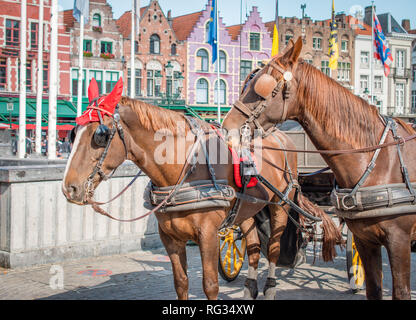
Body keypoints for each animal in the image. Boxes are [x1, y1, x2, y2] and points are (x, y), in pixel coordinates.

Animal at [61, 84, 338, 298]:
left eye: (100, 135)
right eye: (73, 132)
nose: (68, 188)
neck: (184, 169)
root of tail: (282, 136)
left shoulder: (207, 235)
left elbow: (210, 285)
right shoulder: (169, 237)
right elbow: (181, 283)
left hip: (280, 205)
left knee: (273, 249)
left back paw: (269, 288)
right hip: (248, 210)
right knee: (253, 248)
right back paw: (249, 288)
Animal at [223, 37, 416, 300]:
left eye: (262, 86)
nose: (226, 126)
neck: (378, 159)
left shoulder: (398, 241)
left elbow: (401, 290)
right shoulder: (366, 240)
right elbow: (374, 289)